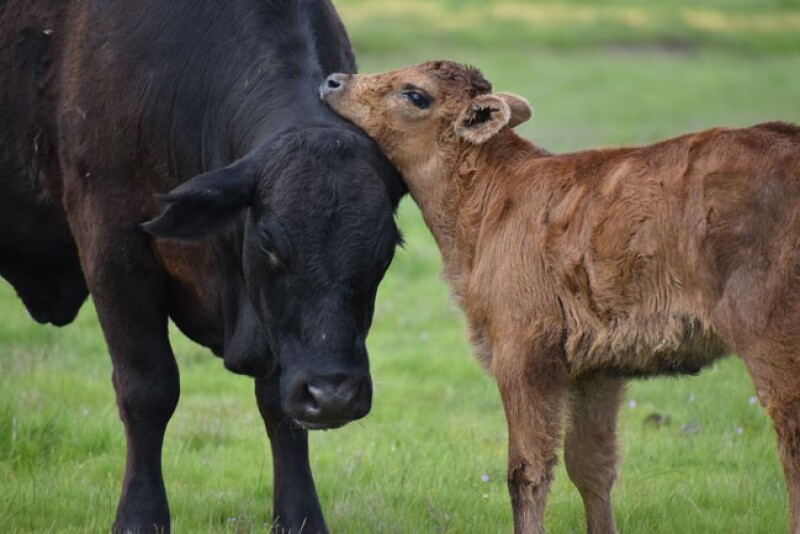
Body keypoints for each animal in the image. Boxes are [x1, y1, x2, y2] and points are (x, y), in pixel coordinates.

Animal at [0, 1, 406, 532]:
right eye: (269, 241)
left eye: (386, 248)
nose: (333, 393)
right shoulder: (111, 244)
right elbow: (148, 389)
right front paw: (140, 515)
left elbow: (277, 405)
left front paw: (299, 515)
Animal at [321, 60, 800, 533]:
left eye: (415, 94)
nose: (333, 81)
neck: (489, 200)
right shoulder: (597, 367)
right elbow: (591, 466)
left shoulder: (522, 354)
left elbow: (528, 469)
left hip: (772, 342)